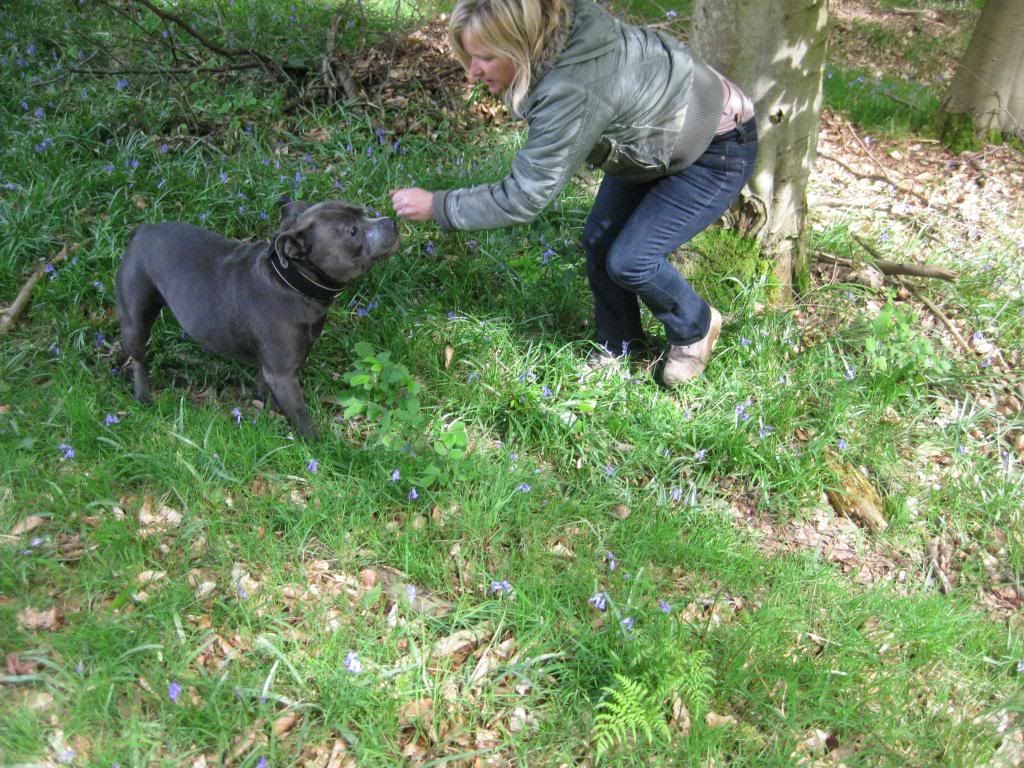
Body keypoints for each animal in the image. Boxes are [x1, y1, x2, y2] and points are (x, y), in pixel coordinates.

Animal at [114, 198, 397, 438]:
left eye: (363, 211)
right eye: (352, 231)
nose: (391, 221)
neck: (291, 283)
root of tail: (142, 230)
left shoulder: (273, 368)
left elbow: (265, 387)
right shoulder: (283, 376)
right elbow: (301, 415)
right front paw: (316, 446)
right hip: (135, 321)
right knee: (139, 359)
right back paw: (143, 396)